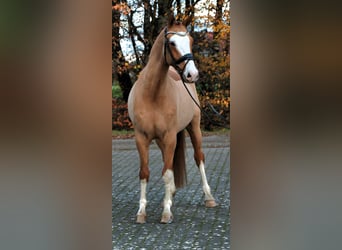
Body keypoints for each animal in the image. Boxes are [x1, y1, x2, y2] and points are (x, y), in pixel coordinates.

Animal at [128, 14, 216, 224]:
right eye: (172, 42)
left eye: (190, 41)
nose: (192, 74)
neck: (152, 93)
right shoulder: (141, 138)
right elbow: (145, 173)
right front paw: (141, 212)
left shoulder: (169, 137)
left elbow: (167, 174)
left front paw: (167, 212)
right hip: (163, 140)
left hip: (194, 128)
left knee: (199, 158)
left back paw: (209, 197)